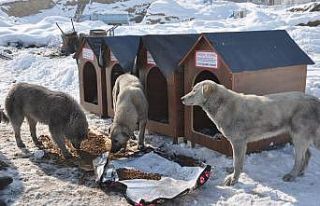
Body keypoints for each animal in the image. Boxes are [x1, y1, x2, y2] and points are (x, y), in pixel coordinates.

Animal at [181, 79, 320, 186]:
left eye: (194, 91)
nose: (181, 99)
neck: (221, 104)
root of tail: (315, 99)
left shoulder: (238, 142)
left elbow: (237, 162)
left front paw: (233, 179)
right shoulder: (241, 144)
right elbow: (237, 161)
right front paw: (233, 172)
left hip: (299, 136)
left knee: (300, 158)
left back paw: (292, 175)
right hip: (297, 136)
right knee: (308, 155)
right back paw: (300, 173)